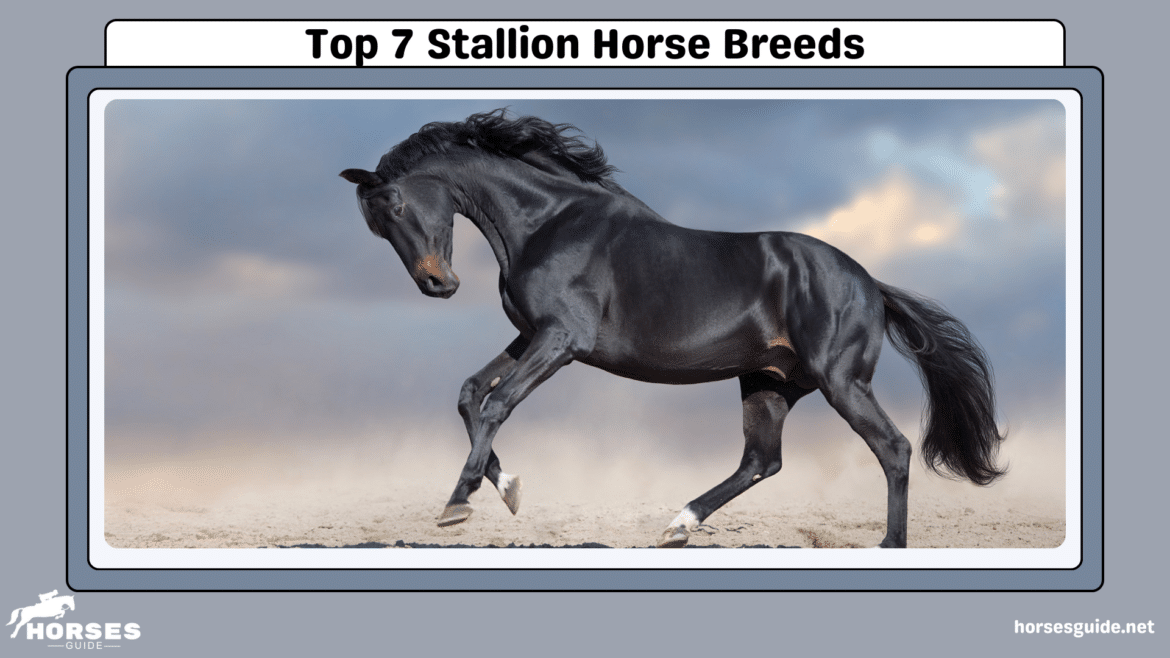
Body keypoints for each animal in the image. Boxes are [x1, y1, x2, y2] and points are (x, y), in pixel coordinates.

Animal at [340, 109, 1006, 548]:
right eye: (374, 224)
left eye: (394, 204)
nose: (437, 284)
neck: (549, 222)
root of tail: (870, 283)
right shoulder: (532, 336)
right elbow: (469, 394)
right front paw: (507, 491)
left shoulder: (562, 340)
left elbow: (497, 403)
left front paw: (458, 505)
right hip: (769, 381)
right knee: (761, 461)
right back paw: (677, 525)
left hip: (840, 380)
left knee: (891, 449)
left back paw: (888, 546)